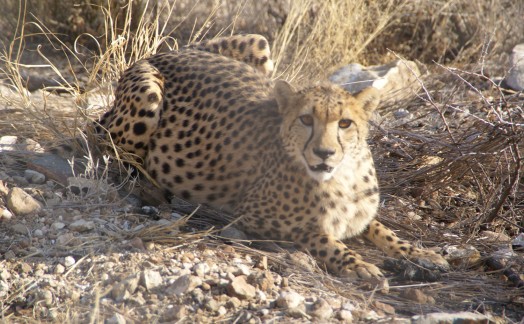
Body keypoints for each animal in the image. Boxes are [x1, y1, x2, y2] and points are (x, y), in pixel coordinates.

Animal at [95, 34, 446, 278]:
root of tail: (169, 51)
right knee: (105, 142)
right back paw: (150, 190)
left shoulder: (360, 213)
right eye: (306, 119)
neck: (341, 176)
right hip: (147, 97)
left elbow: (380, 227)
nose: (324, 152)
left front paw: (419, 252)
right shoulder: (250, 215)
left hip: (259, 44)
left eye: (345, 123)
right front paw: (356, 264)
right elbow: (319, 235)